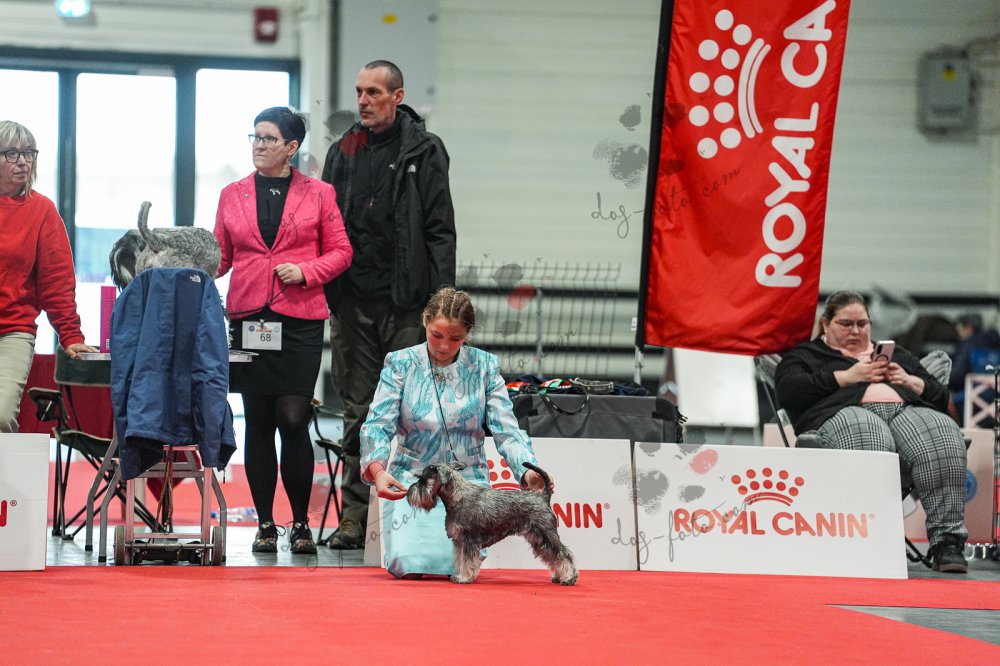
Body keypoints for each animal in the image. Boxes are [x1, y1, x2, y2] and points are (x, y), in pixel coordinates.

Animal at [406, 462, 579, 585]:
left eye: (423, 480)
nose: (409, 493)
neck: (457, 496)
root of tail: (543, 496)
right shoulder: (460, 541)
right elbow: (460, 560)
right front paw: (458, 575)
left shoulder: (469, 540)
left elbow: (467, 561)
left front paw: (463, 578)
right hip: (538, 539)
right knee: (553, 556)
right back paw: (559, 576)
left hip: (546, 534)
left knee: (563, 554)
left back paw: (569, 578)